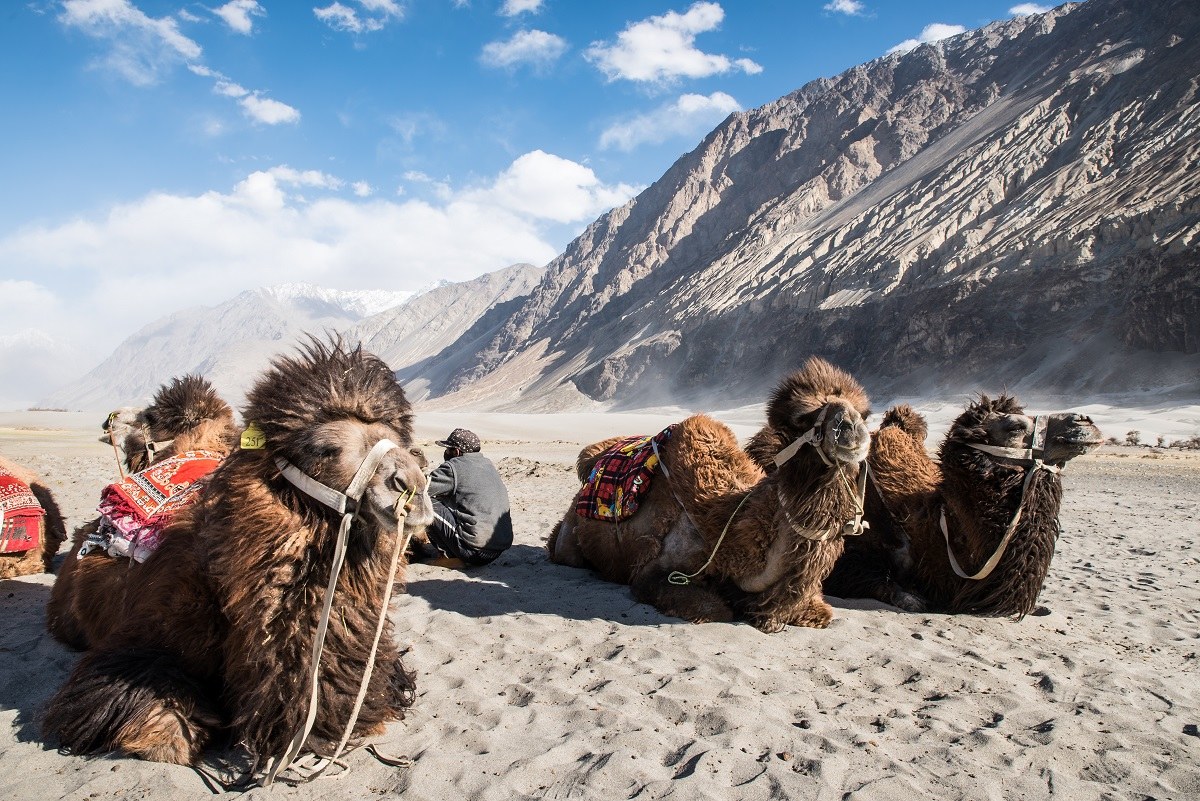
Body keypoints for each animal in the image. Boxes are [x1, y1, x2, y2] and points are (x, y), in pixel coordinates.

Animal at [548, 357, 872, 633]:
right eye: (802, 418)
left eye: (865, 414)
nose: (851, 429)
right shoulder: (652, 573)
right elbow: (717, 609)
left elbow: (822, 612)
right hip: (568, 542)